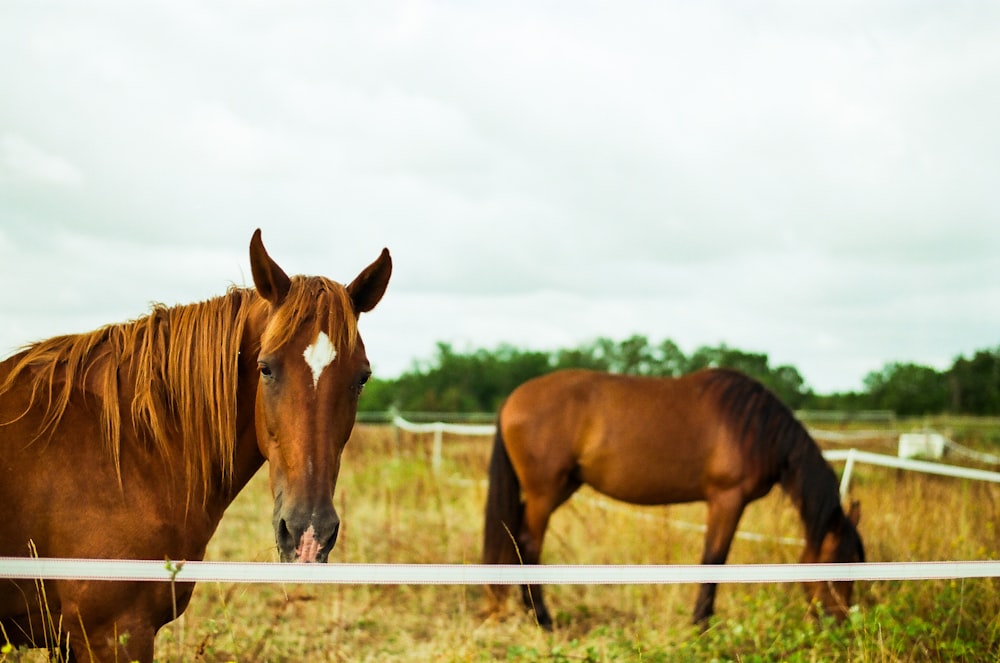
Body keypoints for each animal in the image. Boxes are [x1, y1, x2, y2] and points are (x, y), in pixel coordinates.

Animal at [480, 368, 864, 628]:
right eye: (836, 565)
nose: (839, 623)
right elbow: (714, 560)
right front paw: (701, 626)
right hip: (544, 492)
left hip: (561, 488)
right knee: (529, 544)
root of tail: (512, 399)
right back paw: (542, 619)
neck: (756, 429)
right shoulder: (727, 499)